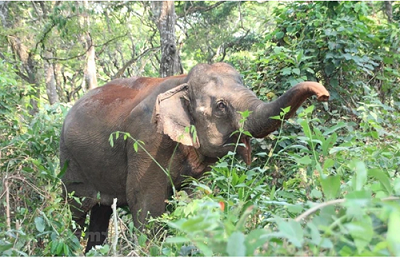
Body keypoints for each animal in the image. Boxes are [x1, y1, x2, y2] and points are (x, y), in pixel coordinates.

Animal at [58, 62, 328, 252]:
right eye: (221, 106)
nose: (324, 94)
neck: (183, 82)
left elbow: (194, 196)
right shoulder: (146, 138)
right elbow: (144, 201)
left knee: (100, 214)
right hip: (69, 162)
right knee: (75, 212)